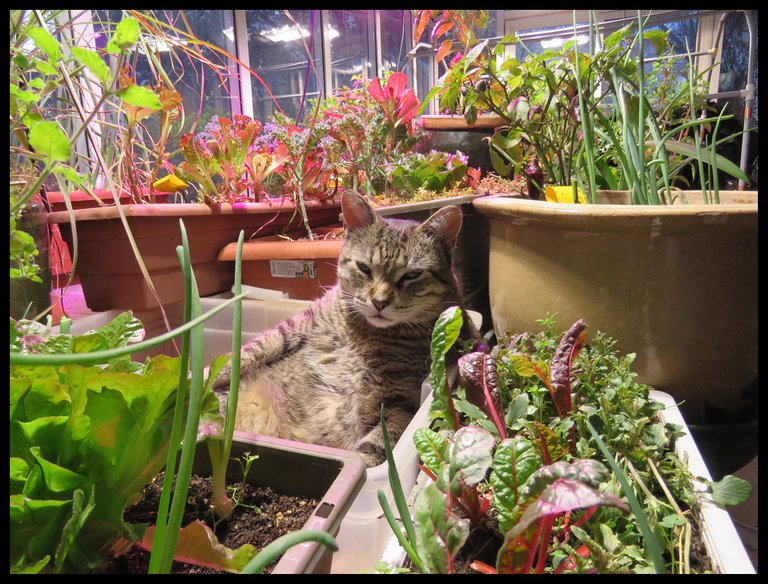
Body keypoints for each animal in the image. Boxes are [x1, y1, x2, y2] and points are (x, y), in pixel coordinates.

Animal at [213, 190, 472, 466]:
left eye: (412, 275)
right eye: (364, 268)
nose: (379, 302)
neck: (365, 332)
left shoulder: (401, 399)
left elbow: (376, 448)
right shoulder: (302, 322)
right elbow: (252, 350)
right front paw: (206, 376)